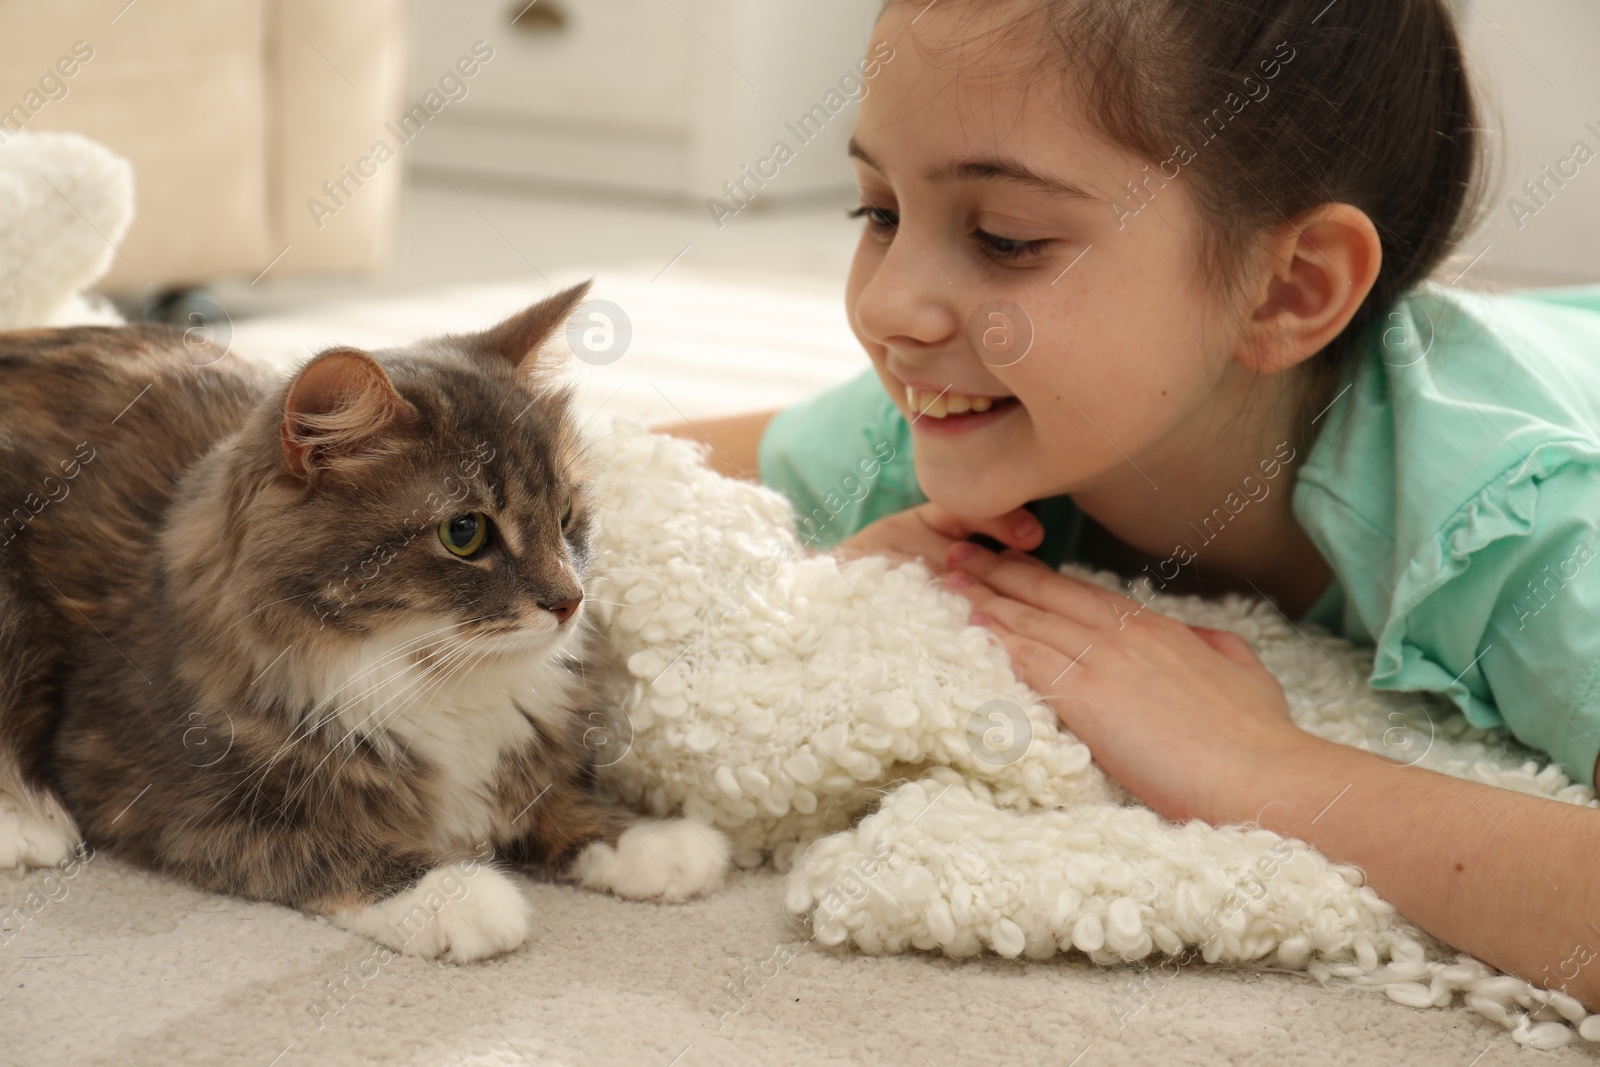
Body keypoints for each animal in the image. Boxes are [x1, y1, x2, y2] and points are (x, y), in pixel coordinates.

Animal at [0, 281, 732, 959]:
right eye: (464, 533)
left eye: (566, 516)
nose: (569, 600)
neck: (423, 674)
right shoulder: (146, 788)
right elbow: (313, 844)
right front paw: (452, 895)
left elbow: (551, 801)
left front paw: (651, 841)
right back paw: (28, 825)